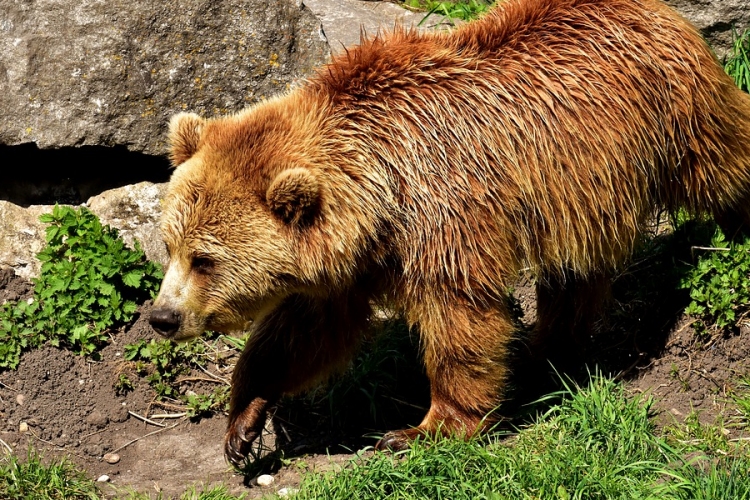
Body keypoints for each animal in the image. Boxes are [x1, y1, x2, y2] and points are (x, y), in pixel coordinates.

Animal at [150, 0, 750, 464]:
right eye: (170, 246)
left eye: (205, 260)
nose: (162, 318)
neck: (378, 186)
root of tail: (661, 10)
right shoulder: (353, 259)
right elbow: (306, 331)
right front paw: (244, 421)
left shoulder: (444, 215)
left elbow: (459, 317)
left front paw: (422, 428)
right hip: (580, 194)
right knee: (575, 271)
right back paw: (546, 350)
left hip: (677, 112)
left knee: (725, 164)